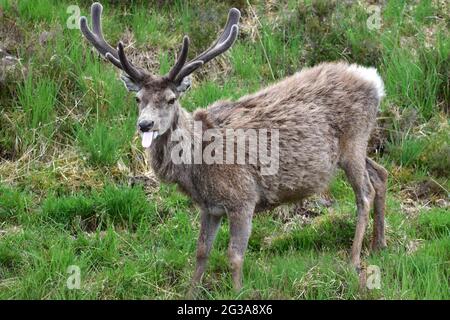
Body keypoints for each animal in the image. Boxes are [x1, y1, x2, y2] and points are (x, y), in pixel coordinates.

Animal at [80, 2, 386, 296]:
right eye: (138, 99)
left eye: (170, 99)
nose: (144, 124)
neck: (197, 167)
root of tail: (375, 81)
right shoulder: (210, 207)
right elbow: (201, 252)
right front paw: (191, 293)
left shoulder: (243, 198)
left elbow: (234, 256)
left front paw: (238, 293)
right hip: (357, 147)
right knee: (380, 174)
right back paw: (379, 245)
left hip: (354, 141)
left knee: (364, 192)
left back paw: (354, 260)